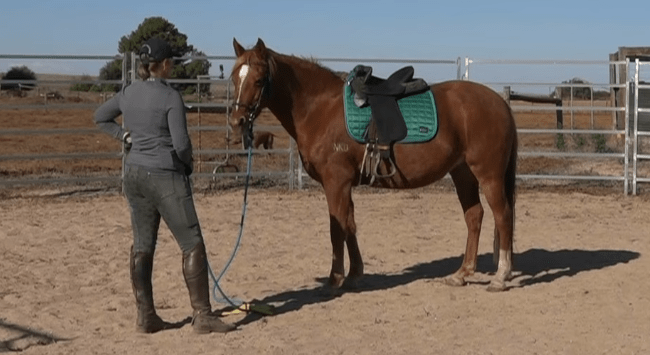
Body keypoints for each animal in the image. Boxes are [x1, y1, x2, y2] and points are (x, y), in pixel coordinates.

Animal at [228, 38, 516, 292]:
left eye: (258, 80)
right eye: (234, 78)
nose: (237, 121)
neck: (321, 109)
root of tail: (499, 103)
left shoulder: (336, 183)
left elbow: (336, 229)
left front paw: (335, 279)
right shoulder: (345, 185)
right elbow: (350, 226)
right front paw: (355, 275)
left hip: (488, 175)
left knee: (502, 215)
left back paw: (500, 276)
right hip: (462, 173)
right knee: (474, 216)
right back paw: (462, 273)